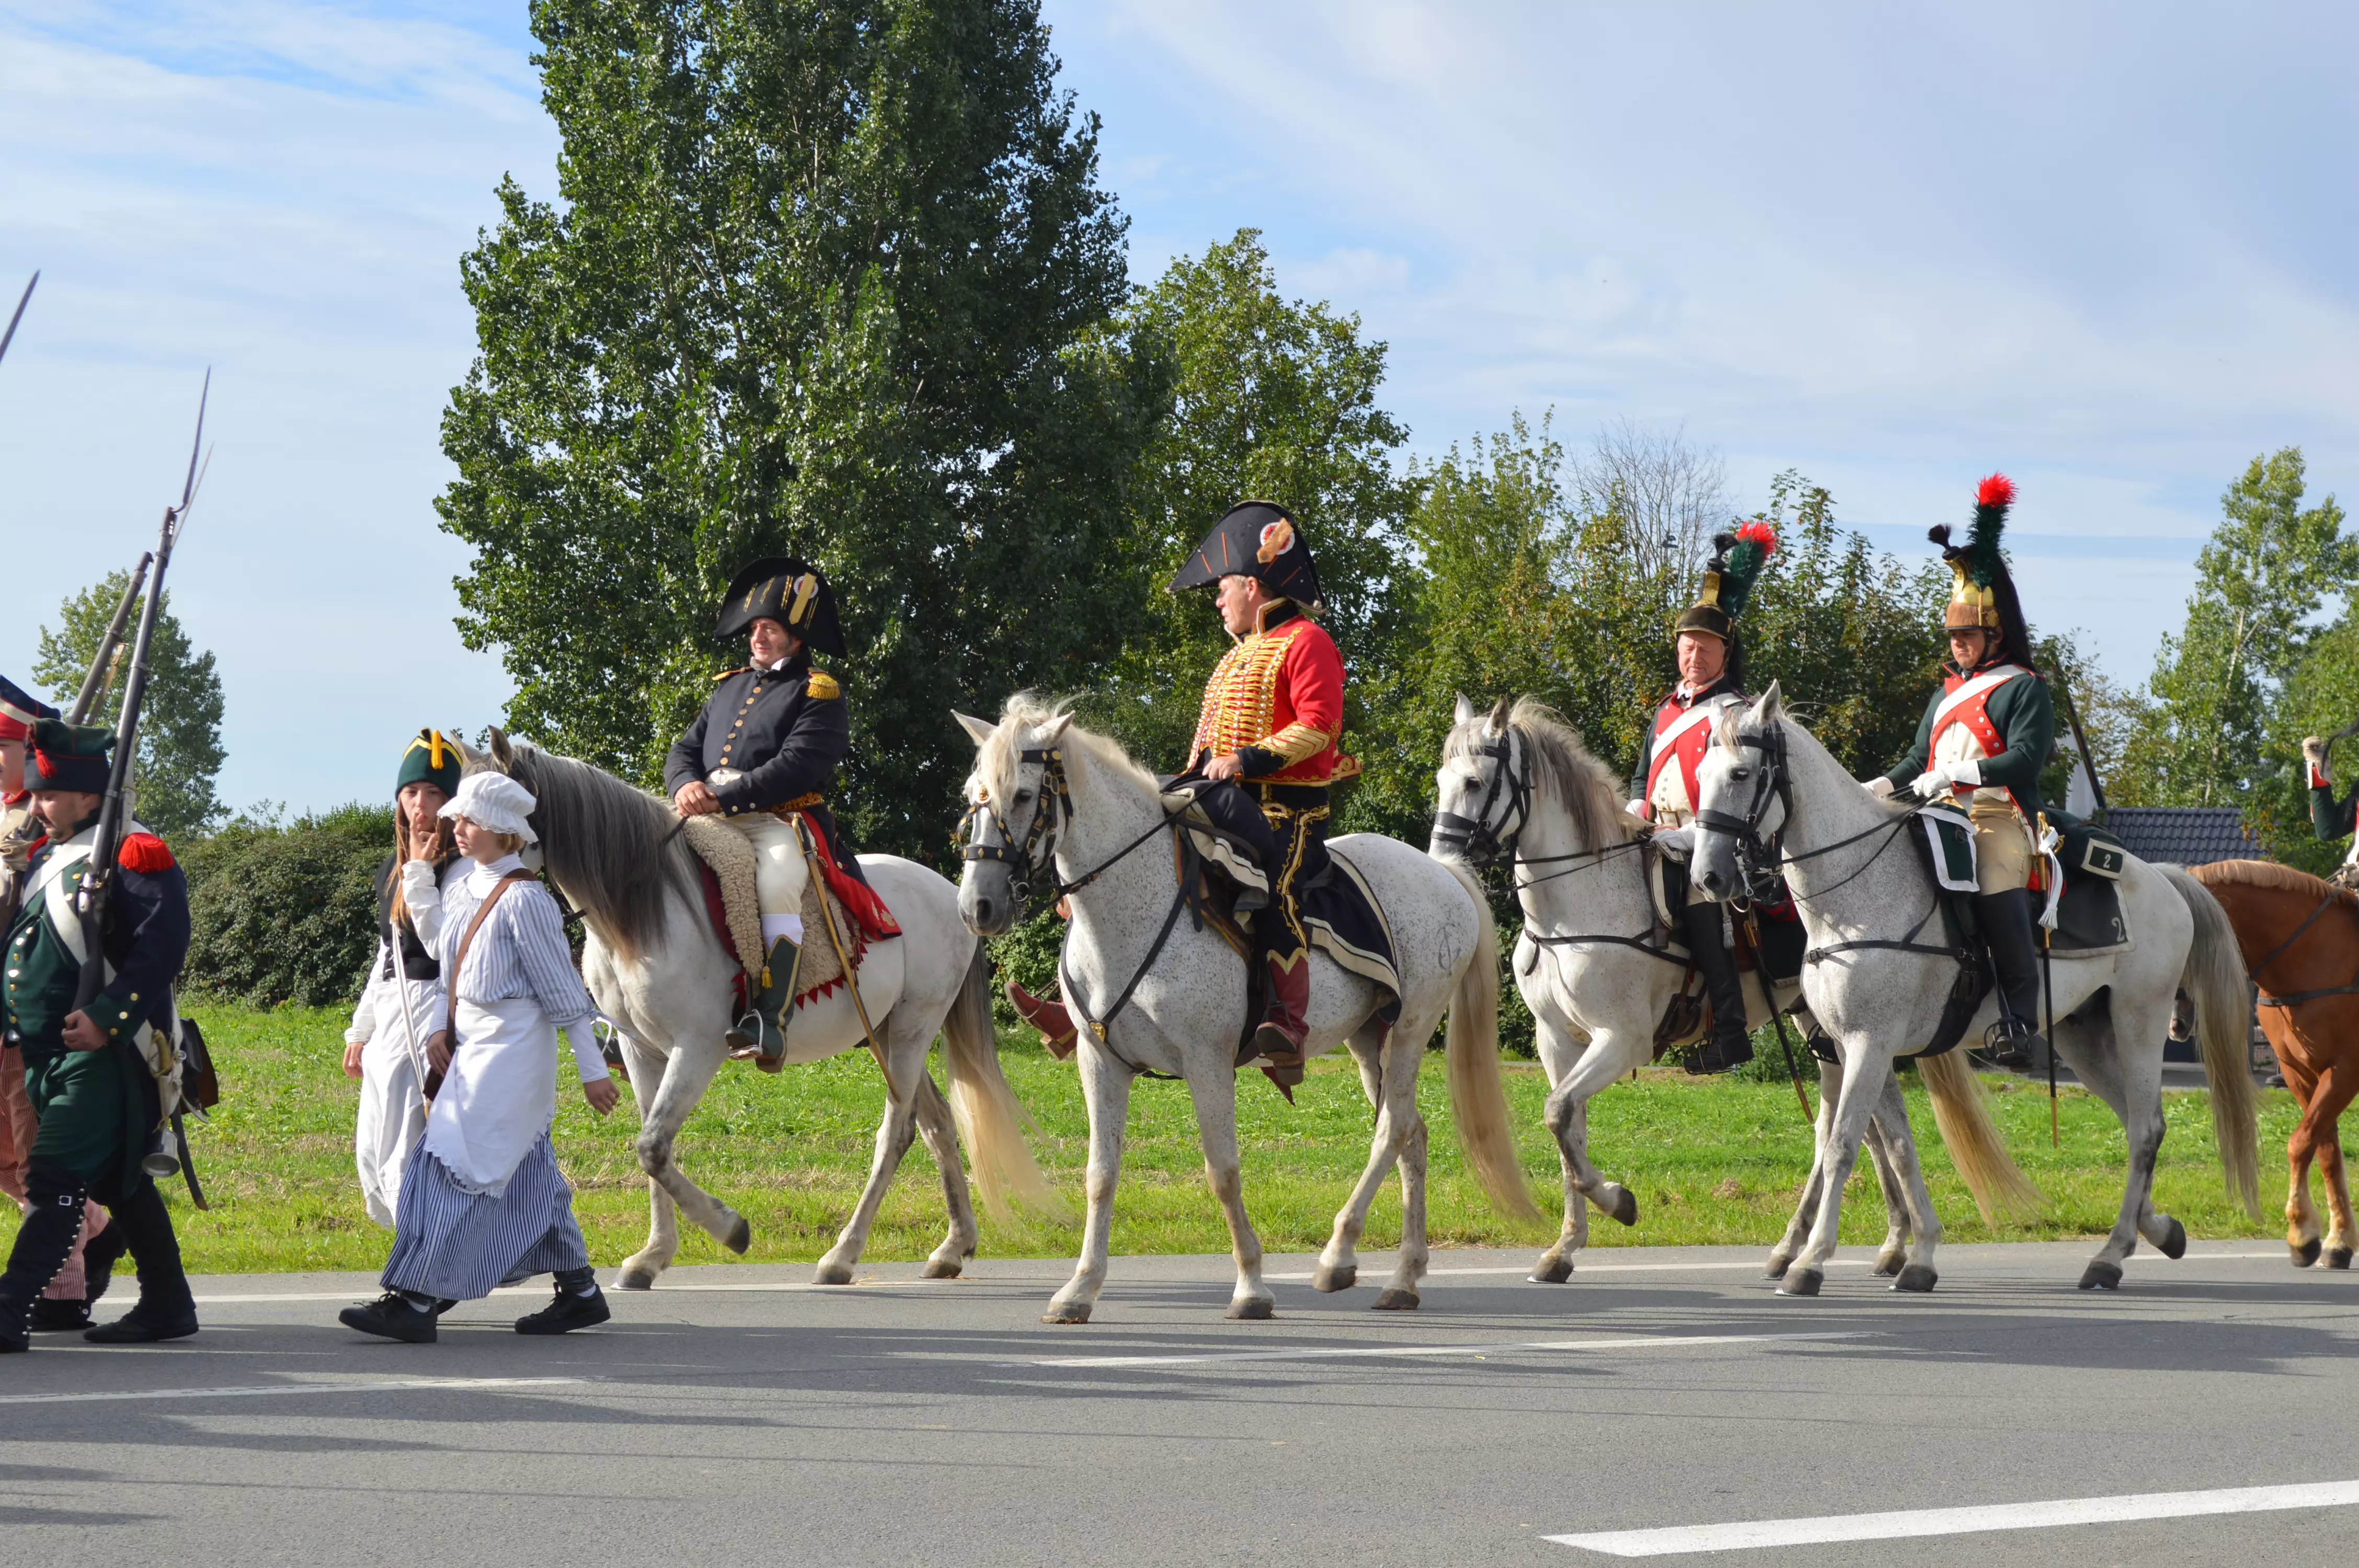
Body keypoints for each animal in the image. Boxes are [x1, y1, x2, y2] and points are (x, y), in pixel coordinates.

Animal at [460, 735, 1052, 1283]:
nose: (466, 893)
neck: (643, 906)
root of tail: (953, 896)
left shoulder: (696, 1048)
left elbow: (653, 1147)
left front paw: (729, 1229)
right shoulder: (639, 1048)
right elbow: (652, 1146)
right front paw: (652, 1256)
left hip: (910, 1032)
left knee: (898, 1132)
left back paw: (842, 1255)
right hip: (883, 1035)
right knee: (937, 1125)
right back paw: (953, 1247)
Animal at [948, 698, 1538, 1320]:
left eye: (1021, 794)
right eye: (972, 794)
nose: (978, 905)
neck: (1129, 911)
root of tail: (1443, 873)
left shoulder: (1207, 1063)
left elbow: (1223, 1172)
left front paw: (1252, 1286)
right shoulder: (1100, 1061)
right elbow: (1100, 1175)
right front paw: (1079, 1289)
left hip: (1410, 1028)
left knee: (1393, 1128)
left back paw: (1338, 1255)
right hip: (1367, 1039)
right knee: (1412, 1135)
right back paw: (1403, 1278)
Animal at [1425, 698, 2019, 1283]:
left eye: (1474, 782)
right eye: (1439, 779)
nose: (1443, 863)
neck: (1577, 905)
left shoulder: (1622, 1039)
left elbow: (1558, 1112)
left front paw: (1618, 1202)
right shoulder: (1557, 1039)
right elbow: (1569, 1127)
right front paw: (1565, 1247)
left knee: (1853, 1130)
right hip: (1826, 1028)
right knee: (1866, 1131)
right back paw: (1877, 1246)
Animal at [1689, 688, 2255, 1292]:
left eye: (1741, 773)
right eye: (1699, 774)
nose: (1708, 878)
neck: (1854, 896)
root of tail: (2162, 877)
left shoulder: (1870, 1043)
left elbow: (1842, 1144)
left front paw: (1811, 1260)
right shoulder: (1853, 1046)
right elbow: (1898, 1146)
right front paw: (1919, 1255)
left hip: (2139, 1021)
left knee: (2146, 1128)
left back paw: (2110, 1254)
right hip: (2082, 1036)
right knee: (2135, 1125)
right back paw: (2157, 1232)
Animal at [2180, 858, 2349, 1273]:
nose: (2176, 1023)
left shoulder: (2345, 1069)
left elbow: (2300, 1143)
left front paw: (2302, 1233)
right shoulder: (2300, 1073)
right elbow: (2324, 1150)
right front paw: (2336, 1240)